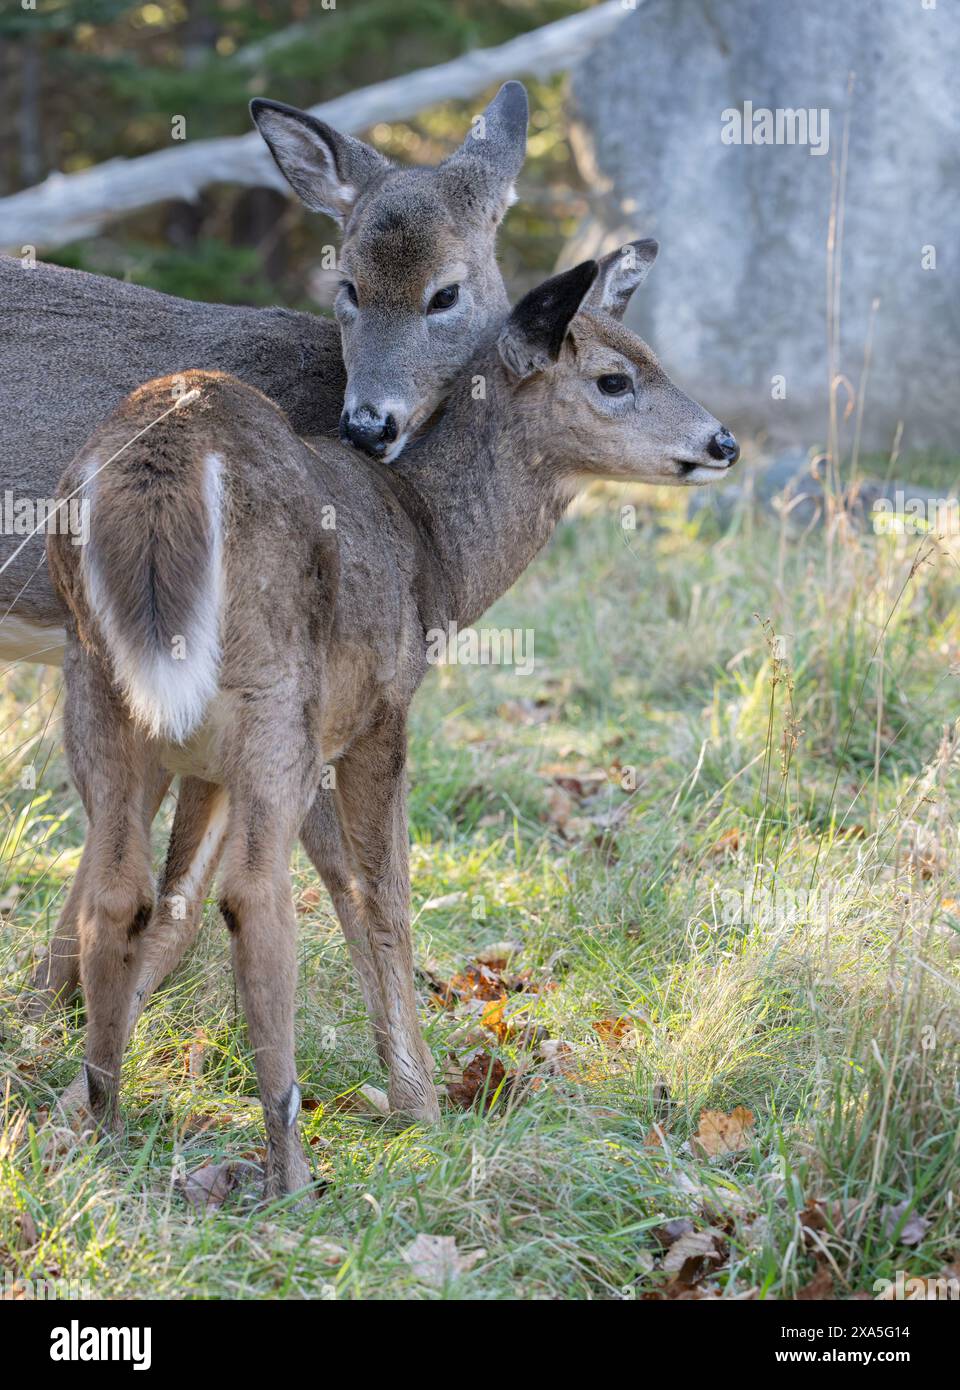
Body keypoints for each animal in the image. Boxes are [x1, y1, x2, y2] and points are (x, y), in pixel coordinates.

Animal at [47, 243, 739, 1198]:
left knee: (118, 892)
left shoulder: (214, 762)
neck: (434, 552)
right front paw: (422, 1104)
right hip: (273, 695)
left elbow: (196, 904)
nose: (723, 443)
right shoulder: (378, 712)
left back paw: (108, 1128)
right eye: (613, 378)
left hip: (103, 693)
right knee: (253, 897)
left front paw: (70, 1113)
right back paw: (290, 1169)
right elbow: (383, 892)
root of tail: (163, 470)